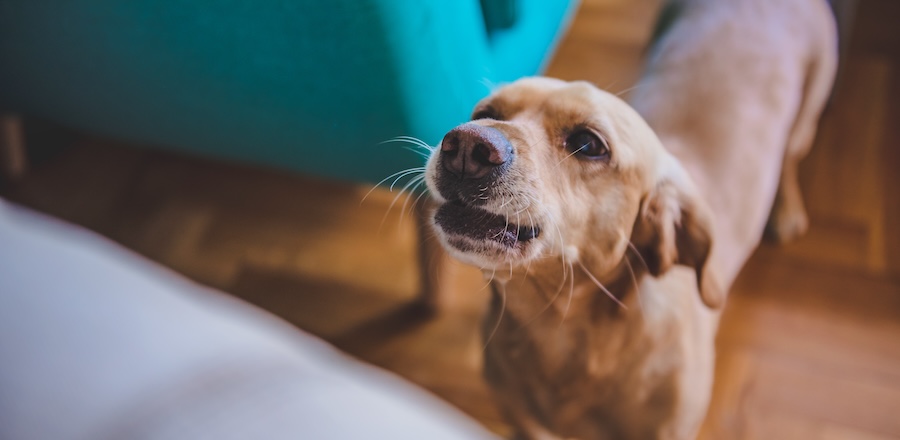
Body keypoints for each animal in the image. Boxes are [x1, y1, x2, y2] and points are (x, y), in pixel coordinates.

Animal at [422, 0, 836, 436]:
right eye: (484, 112)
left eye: (588, 144)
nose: (465, 146)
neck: (559, 330)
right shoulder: (521, 419)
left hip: (808, 112)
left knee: (790, 157)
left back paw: (786, 210)